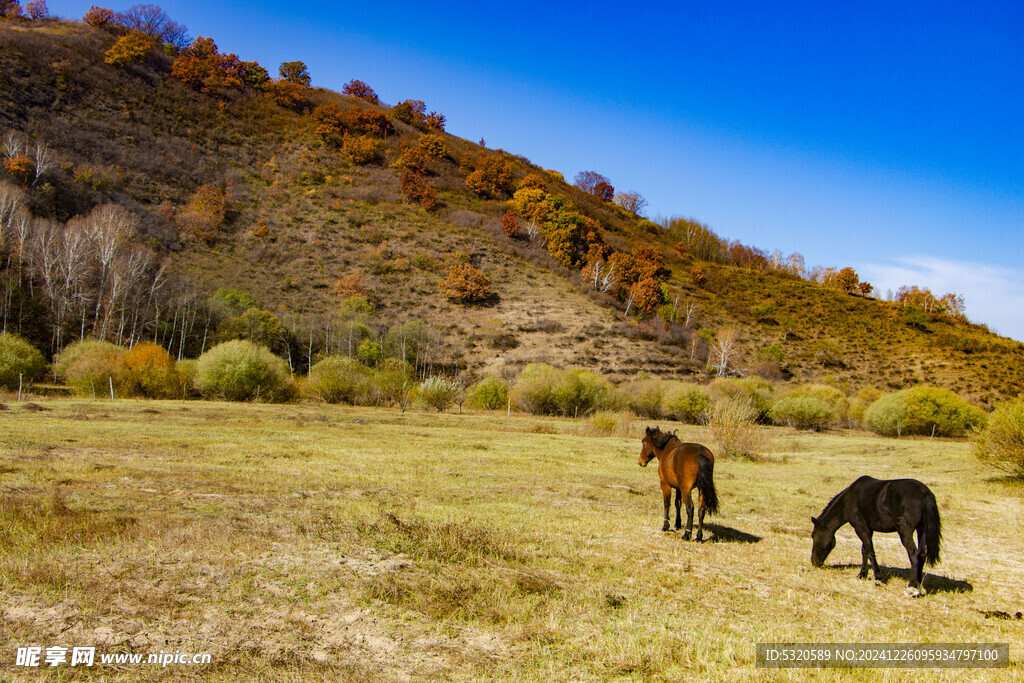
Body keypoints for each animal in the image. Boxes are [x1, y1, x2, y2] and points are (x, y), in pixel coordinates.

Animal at [806, 479, 942, 593]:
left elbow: (870, 551)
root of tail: (924, 492)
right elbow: (864, 550)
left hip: (905, 531)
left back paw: (912, 585)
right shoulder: (868, 529)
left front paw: (878, 577)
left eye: (813, 535)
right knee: (922, 554)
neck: (848, 500)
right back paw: (918, 583)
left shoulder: (860, 527)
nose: (814, 562)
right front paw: (862, 574)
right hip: (921, 529)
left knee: (914, 554)